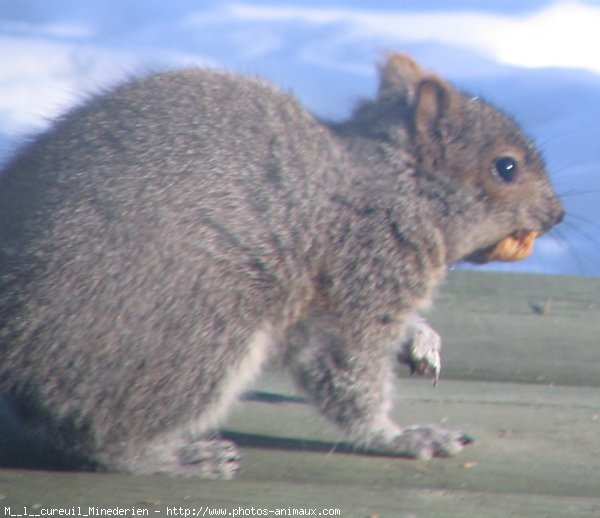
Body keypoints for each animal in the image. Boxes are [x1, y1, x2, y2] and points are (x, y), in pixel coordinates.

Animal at [0, 52, 564, 480]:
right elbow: (348, 373)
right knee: (104, 435)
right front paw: (398, 437)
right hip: (191, 334)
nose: (558, 215)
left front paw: (421, 339)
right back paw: (177, 458)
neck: (393, 186)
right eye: (506, 167)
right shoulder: (357, 279)